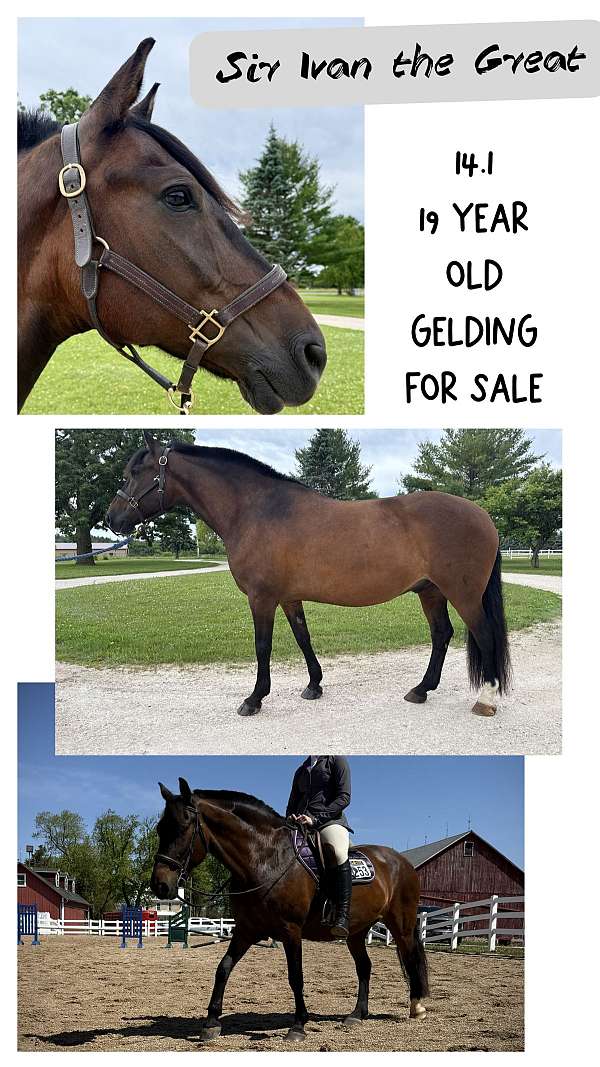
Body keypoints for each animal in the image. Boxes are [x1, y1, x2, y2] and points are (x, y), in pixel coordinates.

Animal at [106, 433, 511, 718]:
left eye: (134, 473)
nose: (112, 519)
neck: (257, 511)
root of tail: (483, 515)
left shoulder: (262, 598)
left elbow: (262, 646)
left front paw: (254, 699)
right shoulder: (288, 597)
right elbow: (303, 638)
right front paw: (314, 685)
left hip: (463, 595)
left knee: (484, 635)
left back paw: (486, 699)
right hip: (430, 591)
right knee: (441, 634)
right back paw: (421, 690)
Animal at [151, 779, 429, 1042]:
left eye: (183, 827)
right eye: (160, 828)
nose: (159, 885)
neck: (264, 859)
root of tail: (401, 862)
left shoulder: (291, 931)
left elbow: (296, 976)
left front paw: (298, 1026)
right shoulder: (245, 930)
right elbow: (223, 968)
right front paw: (211, 1023)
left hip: (401, 925)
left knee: (411, 957)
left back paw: (417, 1007)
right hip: (356, 932)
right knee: (365, 967)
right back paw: (357, 1014)